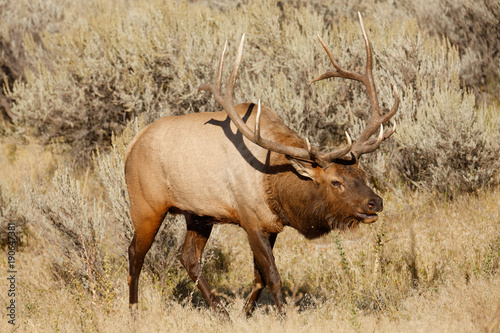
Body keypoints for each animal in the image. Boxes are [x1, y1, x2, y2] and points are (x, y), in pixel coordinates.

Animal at [125, 13, 398, 318]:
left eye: (362, 173)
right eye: (335, 182)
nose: (375, 202)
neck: (275, 185)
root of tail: (131, 146)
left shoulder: (271, 225)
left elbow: (259, 278)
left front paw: (245, 313)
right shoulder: (250, 219)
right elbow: (273, 276)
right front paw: (283, 316)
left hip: (197, 213)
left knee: (188, 257)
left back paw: (221, 313)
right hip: (146, 204)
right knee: (135, 253)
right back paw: (134, 310)